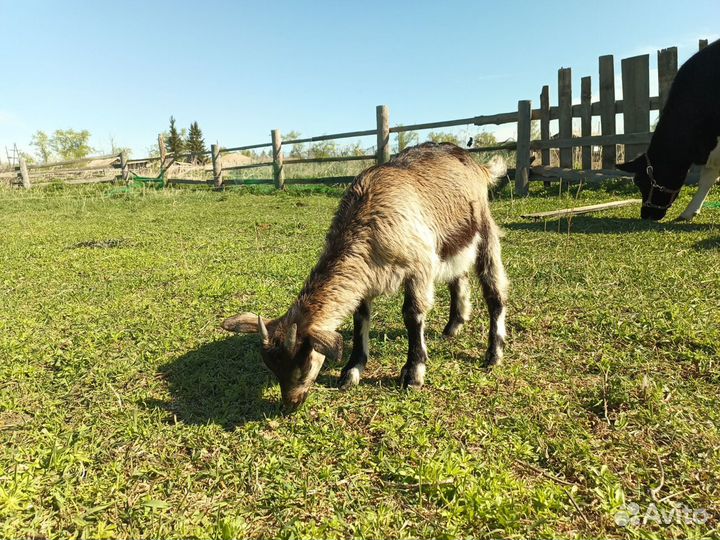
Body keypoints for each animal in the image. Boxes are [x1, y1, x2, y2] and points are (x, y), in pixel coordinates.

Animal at [222, 141, 510, 412]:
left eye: (304, 366)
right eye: (272, 368)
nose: (291, 403)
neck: (370, 219)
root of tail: (478, 166)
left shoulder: (419, 266)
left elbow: (413, 315)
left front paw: (413, 374)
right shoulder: (365, 279)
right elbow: (360, 318)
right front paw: (351, 371)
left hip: (484, 230)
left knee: (493, 288)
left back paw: (493, 353)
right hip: (453, 243)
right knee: (458, 277)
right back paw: (454, 326)